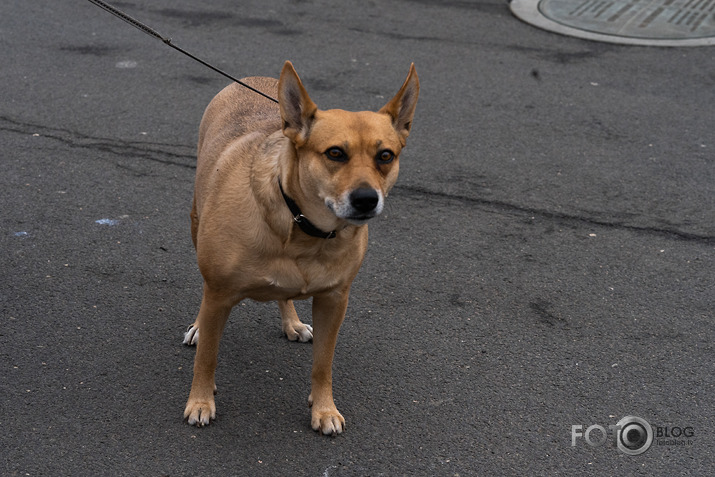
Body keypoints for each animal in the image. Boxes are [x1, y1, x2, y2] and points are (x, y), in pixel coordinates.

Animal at [183, 62, 420, 436]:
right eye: (335, 153)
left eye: (385, 156)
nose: (366, 199)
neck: (304, 228)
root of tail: (252, 79)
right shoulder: (218, 295)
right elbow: (207, 356)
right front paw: (201, 401)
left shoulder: (334, 302)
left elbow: (323, 363)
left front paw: (323, 409)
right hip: (197, 227)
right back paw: (198, 326)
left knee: (285, 295)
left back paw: (291, 322)